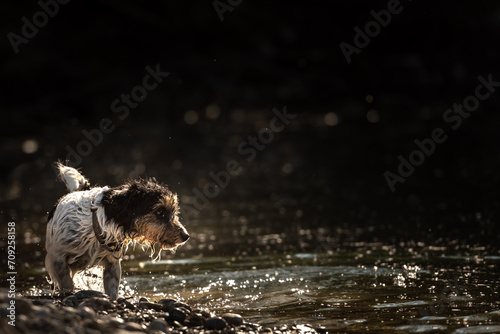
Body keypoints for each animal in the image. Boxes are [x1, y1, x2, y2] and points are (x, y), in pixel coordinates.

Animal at [44, 163, 189, 298]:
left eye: (173, 211)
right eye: (159, 211)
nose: (186, 236)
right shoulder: (57, 257)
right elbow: (66, 282)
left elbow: (112, 291)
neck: (96, 225)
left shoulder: (112, 264)